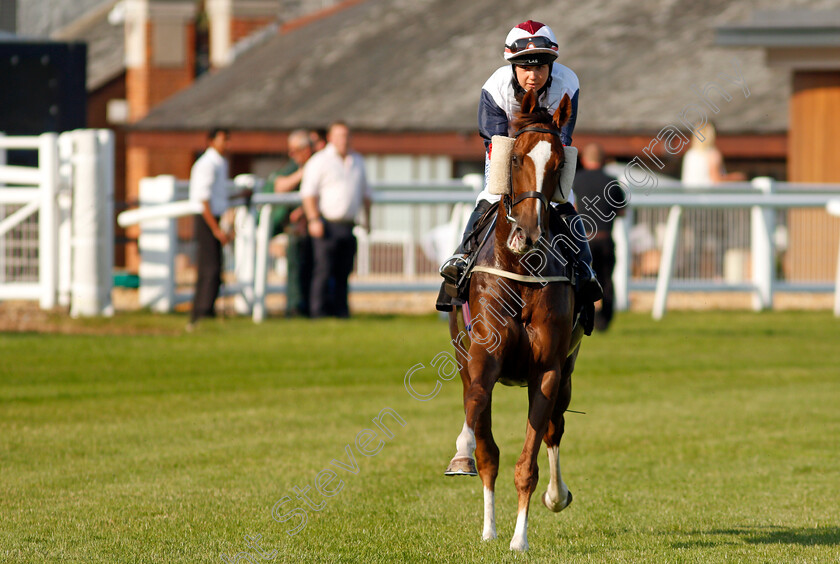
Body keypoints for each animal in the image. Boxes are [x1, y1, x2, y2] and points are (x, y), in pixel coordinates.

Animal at [446, 90, 584, 552]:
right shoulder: (481, 361)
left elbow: (530, 460)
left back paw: (556, 496)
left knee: (555, 429)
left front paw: (519, 538)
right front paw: (462, 454)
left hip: (568, 370)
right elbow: (482, 437)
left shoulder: (548, 369)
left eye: (558, 162)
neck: (523, 269)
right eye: (517, 157)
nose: (528, 233)